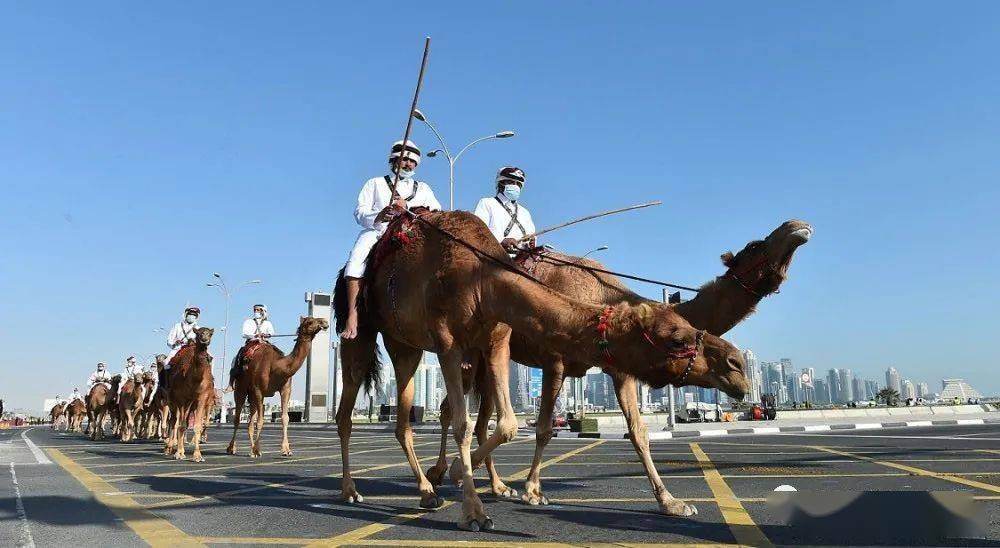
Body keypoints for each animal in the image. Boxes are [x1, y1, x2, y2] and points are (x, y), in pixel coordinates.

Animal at [164, 328, 215, 460]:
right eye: (198, 333)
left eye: (210, 333)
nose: (205, 340)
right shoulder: (182, 399)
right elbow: (180, 425)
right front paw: (179, 453)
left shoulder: (202, 398)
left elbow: (196, 425)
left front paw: (197, 455)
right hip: (172, 401)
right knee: (174, 421)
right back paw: (169, 448)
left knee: (184, 422)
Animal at [228, 316, 332, 458]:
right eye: (310, 321)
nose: (325, 322)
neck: (277, 366)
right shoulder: (259, 390)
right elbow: (260, 421)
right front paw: (257, 450)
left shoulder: (285, 389)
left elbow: (285, 418)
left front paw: (286, 450)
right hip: (241, 388)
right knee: (238, 417)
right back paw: (232, 448)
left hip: (252, 395)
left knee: (250, 422)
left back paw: (251, 450)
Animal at [332, 211, 748, 532]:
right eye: (676, 339)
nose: (738, 367)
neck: (480, 277)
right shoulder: (463, 344)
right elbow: (516, 426)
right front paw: (482, 507)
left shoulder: (499, 341)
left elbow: (511, 424)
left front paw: (672, 502)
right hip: (366, 332)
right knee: (349, 409)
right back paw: (356, 490)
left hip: (410, 345)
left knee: (410, 418)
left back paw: (438, 488)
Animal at [428, 218, 812, 512]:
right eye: (755, 245)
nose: (798, 227)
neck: (603, 301)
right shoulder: (554, 360)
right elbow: (544, 429)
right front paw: (534, 491)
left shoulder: (621, 368)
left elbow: (639, 433)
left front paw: (671, 502)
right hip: (477, 352)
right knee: (451, 409)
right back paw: (438, 475)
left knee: (479, 417)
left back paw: (494, 485)